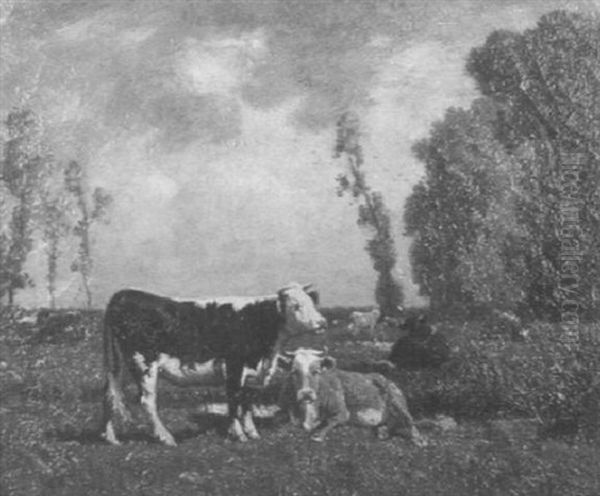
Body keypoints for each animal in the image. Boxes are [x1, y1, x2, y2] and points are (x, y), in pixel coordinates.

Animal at [103, 282, 328, 446]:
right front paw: (239, 435)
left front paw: (253, 433)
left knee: (111, 394)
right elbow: (234, 402)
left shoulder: (251, 373)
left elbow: (247, 404)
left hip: (117, 364)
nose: (322, 323)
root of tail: (124, 294)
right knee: (147, 401)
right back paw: (166, 438)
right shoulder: (234, 367)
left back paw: (111, 438)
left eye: (313, 304)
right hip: (144, 364)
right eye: (296, 306)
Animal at [278, 348, 424, 446]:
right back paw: (383, 432)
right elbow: (287, 423)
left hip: (397, 402)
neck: (309, 413)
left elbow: (331, 421)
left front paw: (318, 435)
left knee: (412, 425)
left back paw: (418, 440)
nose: (306, 393)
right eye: (294, 371)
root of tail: (385, 378)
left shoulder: (343, 412)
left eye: (316, 371)